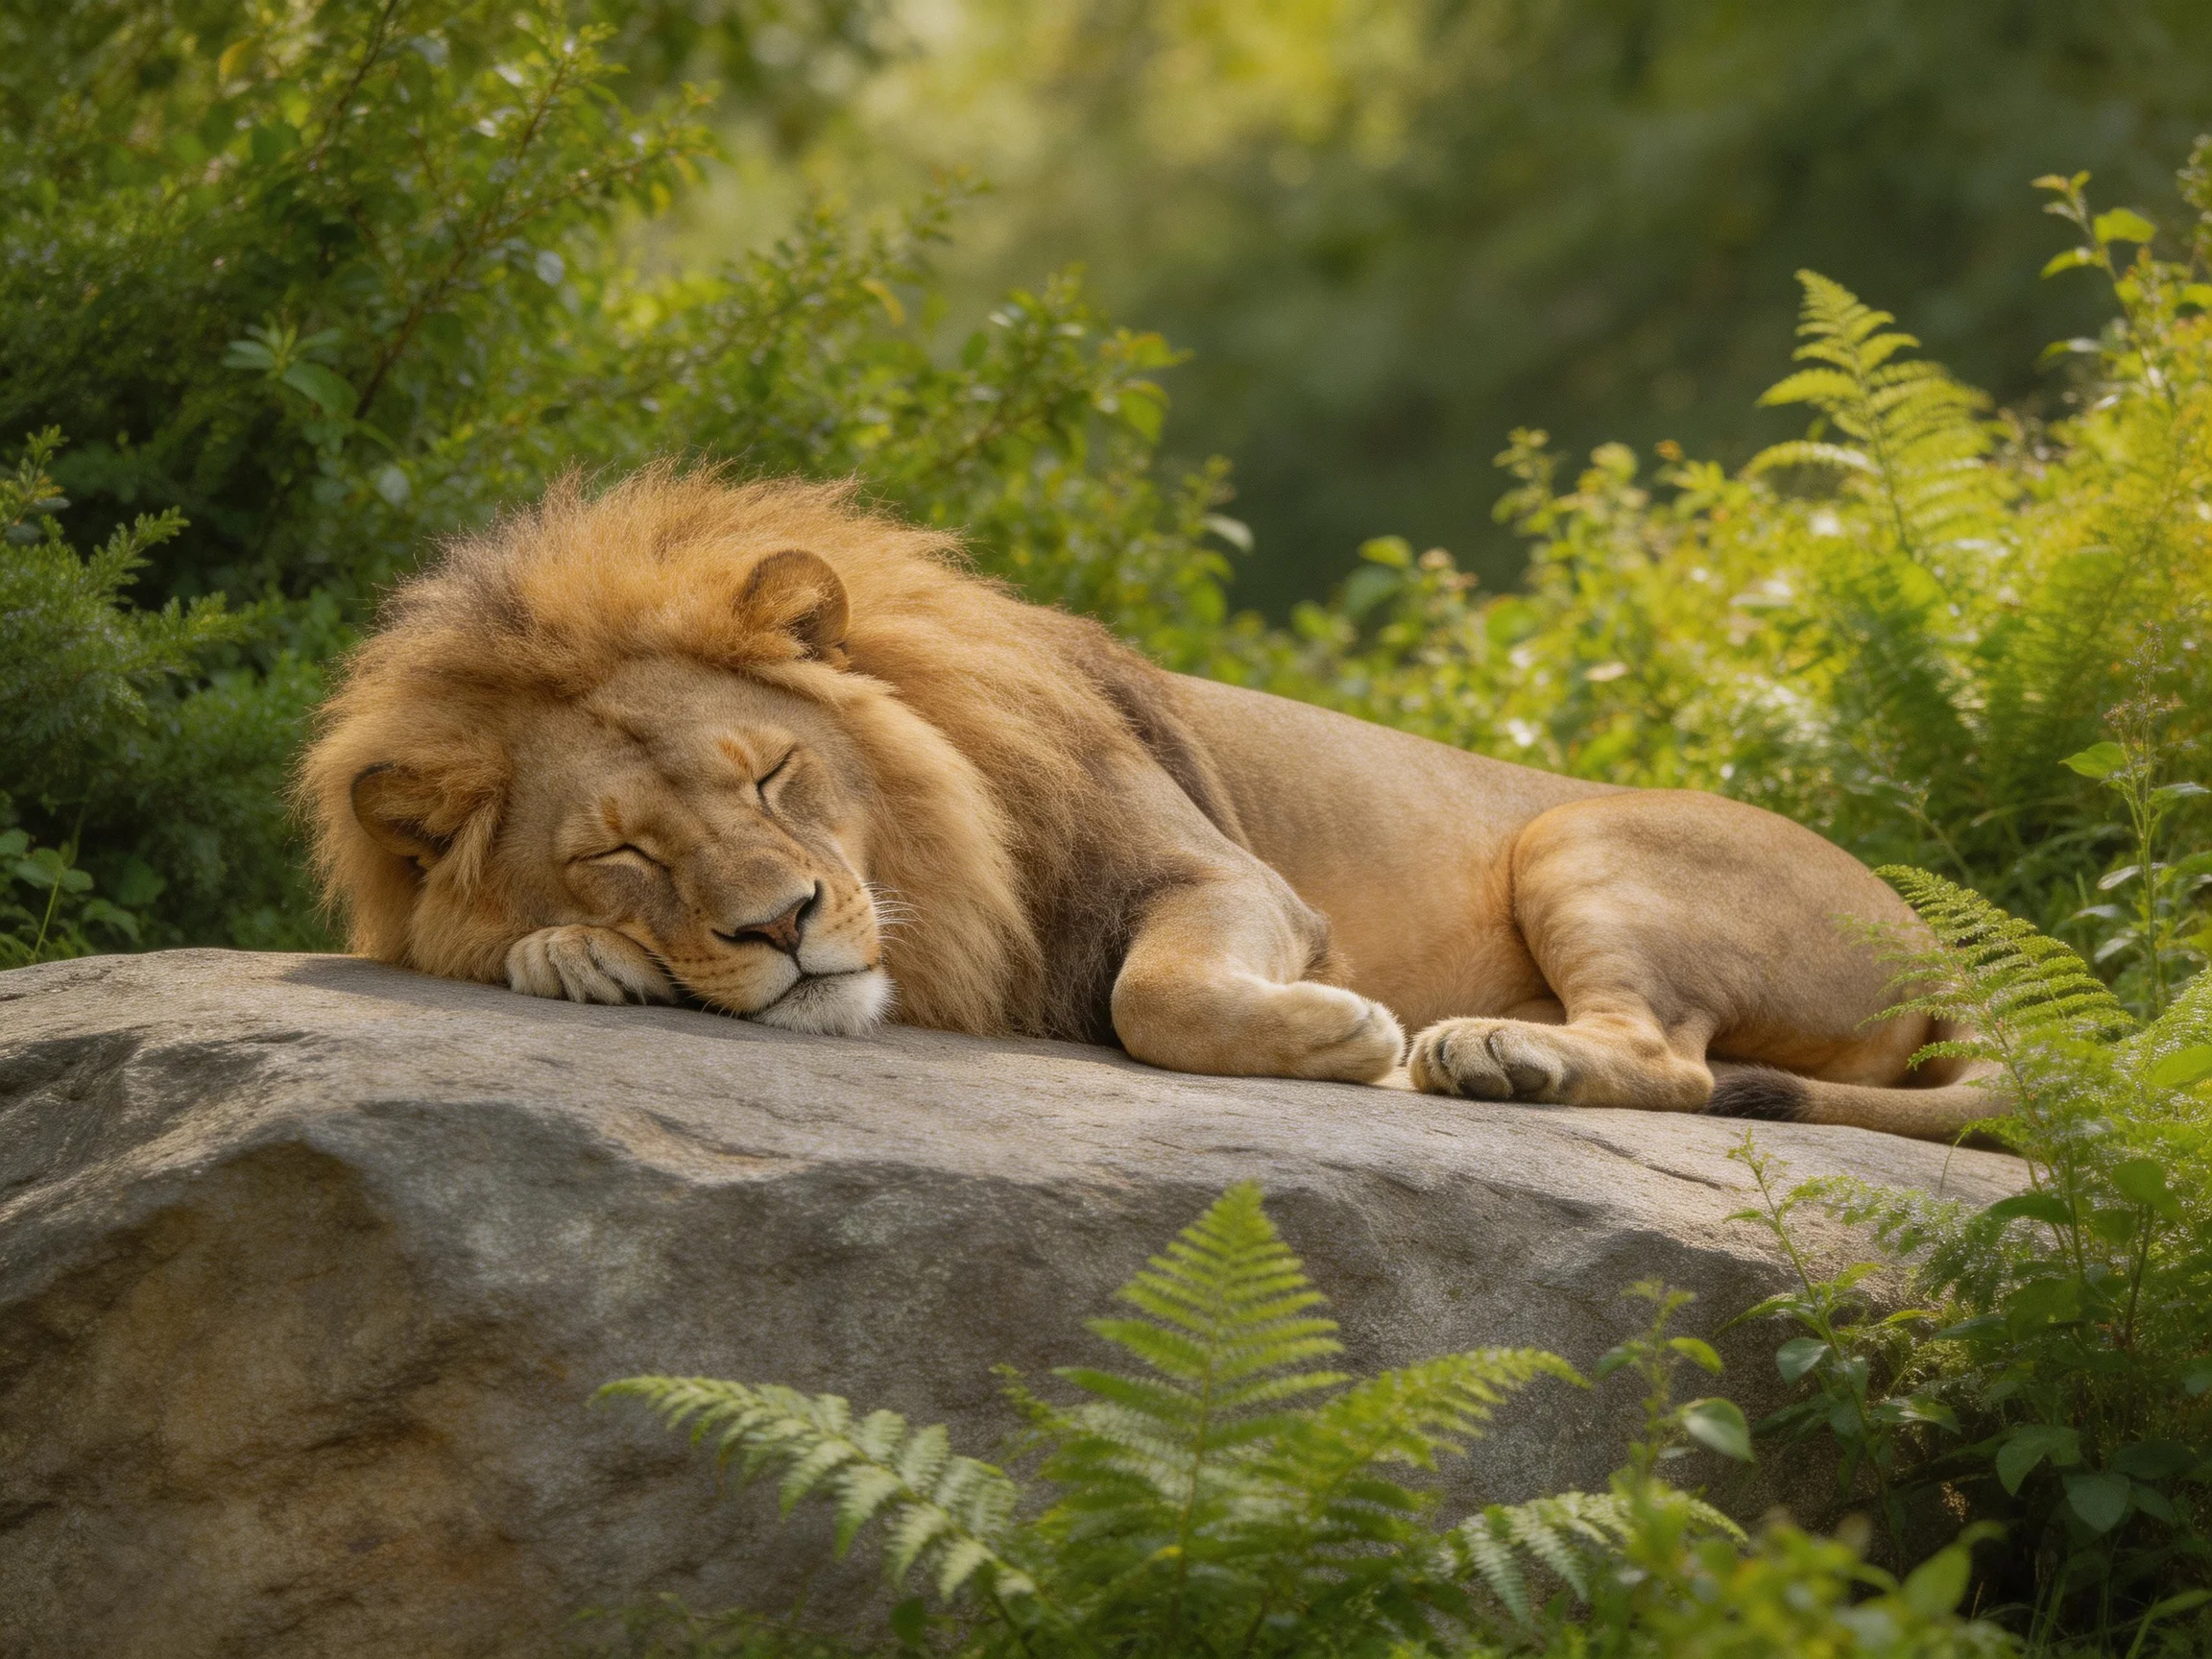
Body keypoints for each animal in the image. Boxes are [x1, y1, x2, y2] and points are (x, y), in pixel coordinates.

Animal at [300, 467, 1998, 1140]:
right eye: (620, 854)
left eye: (772, 775)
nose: (781, 925)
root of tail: (1950, 943)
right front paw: (571, 957)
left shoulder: (1216, 879)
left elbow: (1152, 993)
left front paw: (1339, 1033)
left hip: (1575, 833)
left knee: (1676, 1064)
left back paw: (1482, 1055)